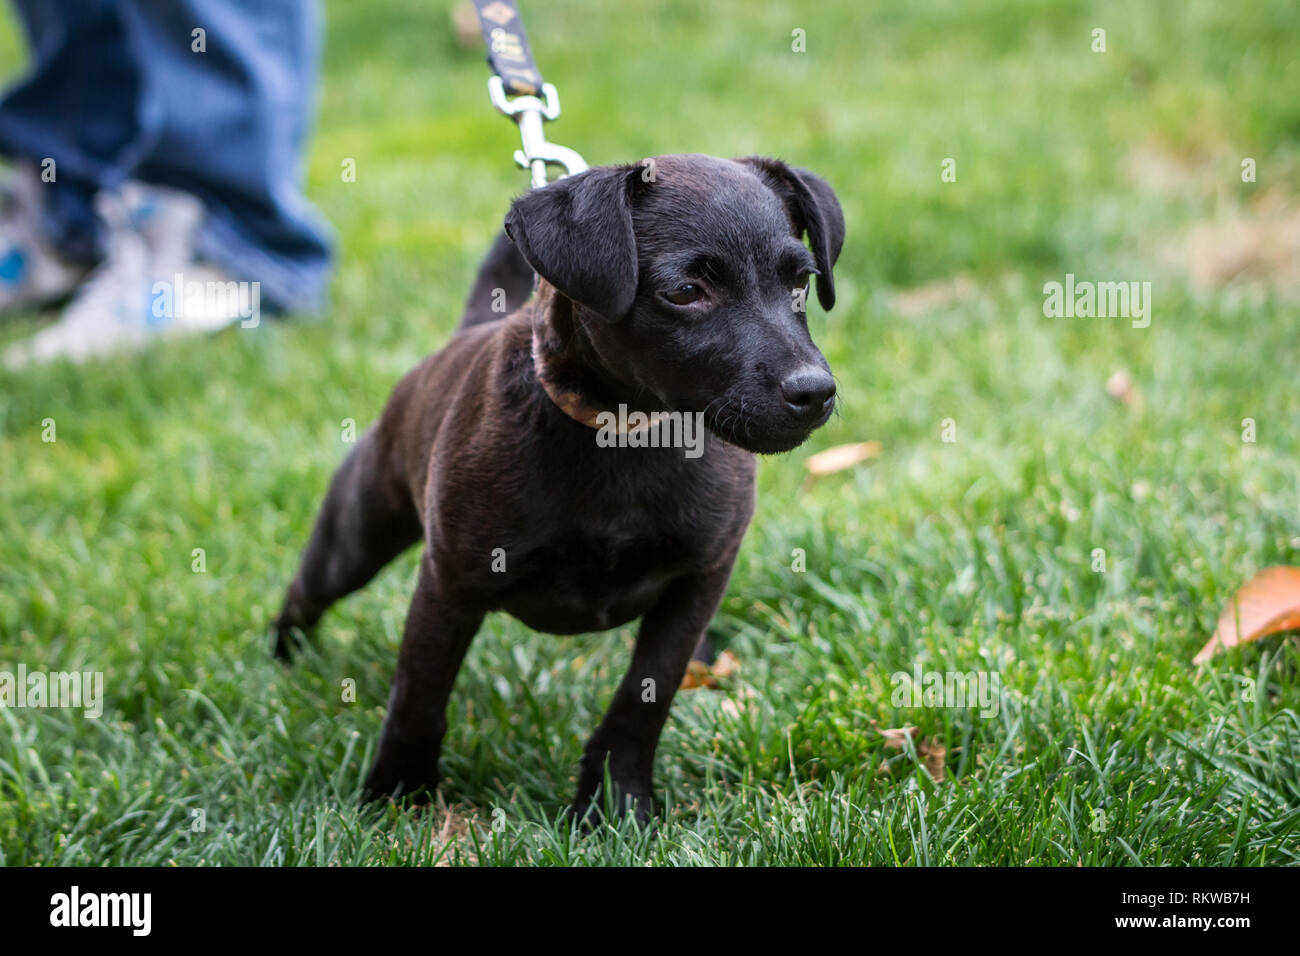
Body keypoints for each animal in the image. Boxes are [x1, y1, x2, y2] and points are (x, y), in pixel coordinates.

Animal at [273, 151, 842, 822]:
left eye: (801, 283)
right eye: (685, 293)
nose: (814, 392)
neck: (624, 437)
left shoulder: (699, 580)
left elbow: (643, 698)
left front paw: (618, 803)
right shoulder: (449, 584)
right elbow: (420, 696)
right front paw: (395, 797)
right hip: (359, 532)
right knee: (307, 592)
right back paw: (282, 662)